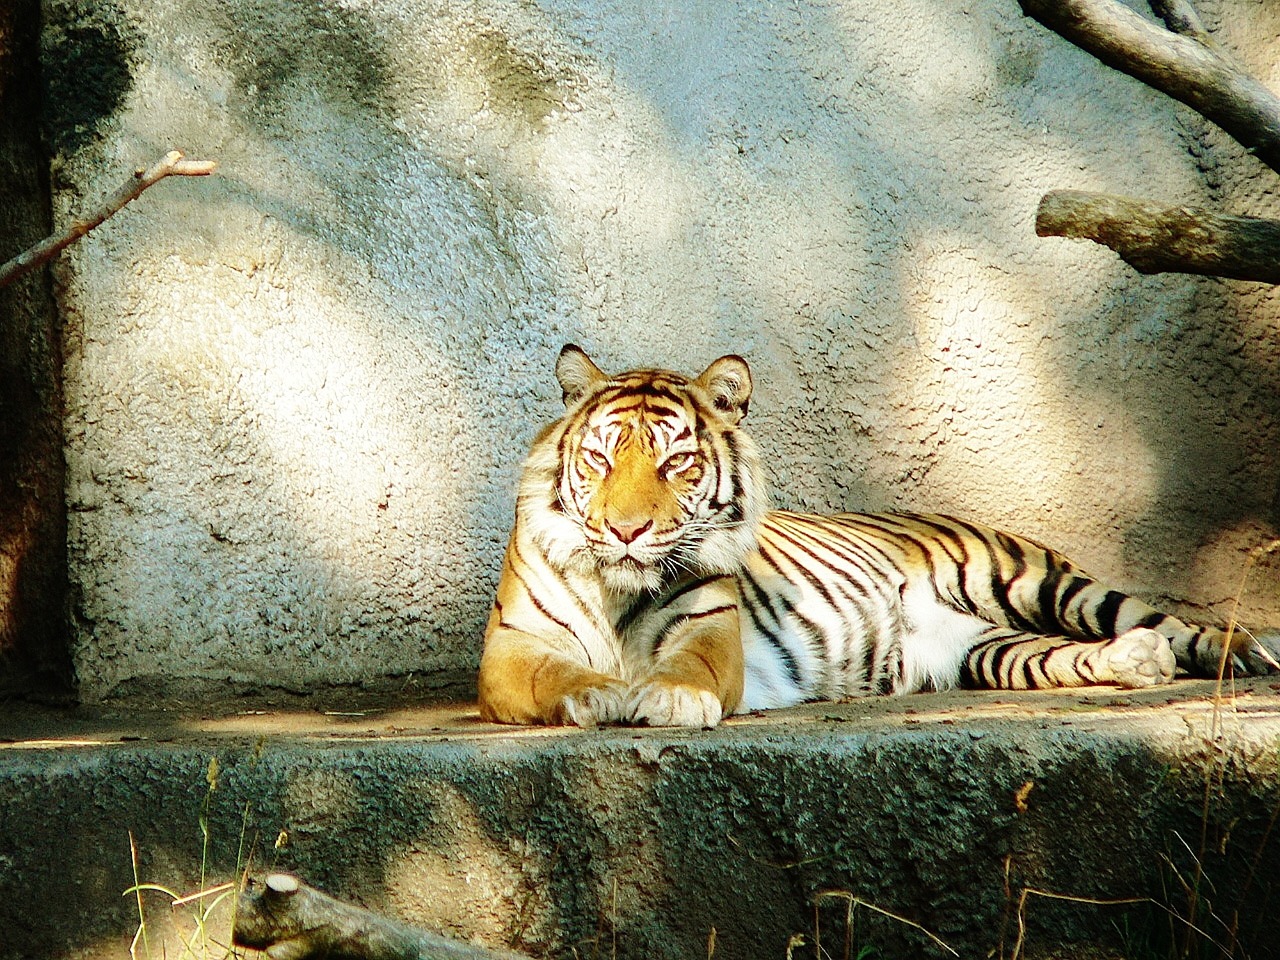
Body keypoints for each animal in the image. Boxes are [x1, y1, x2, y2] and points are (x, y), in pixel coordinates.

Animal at [481, 345, 1280, 727]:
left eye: (676, 462)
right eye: (600, 458)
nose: (626, 529)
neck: (617, 588)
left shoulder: (709, 632)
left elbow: (686, 669)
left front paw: (667, 699)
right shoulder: (513, 650)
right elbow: (561, 676)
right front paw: (602, 696)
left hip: (1036, 580)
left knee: (1164, 621)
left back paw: (1245, 653)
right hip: (979, 648)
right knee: (1064, 655)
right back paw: (1138, 662)